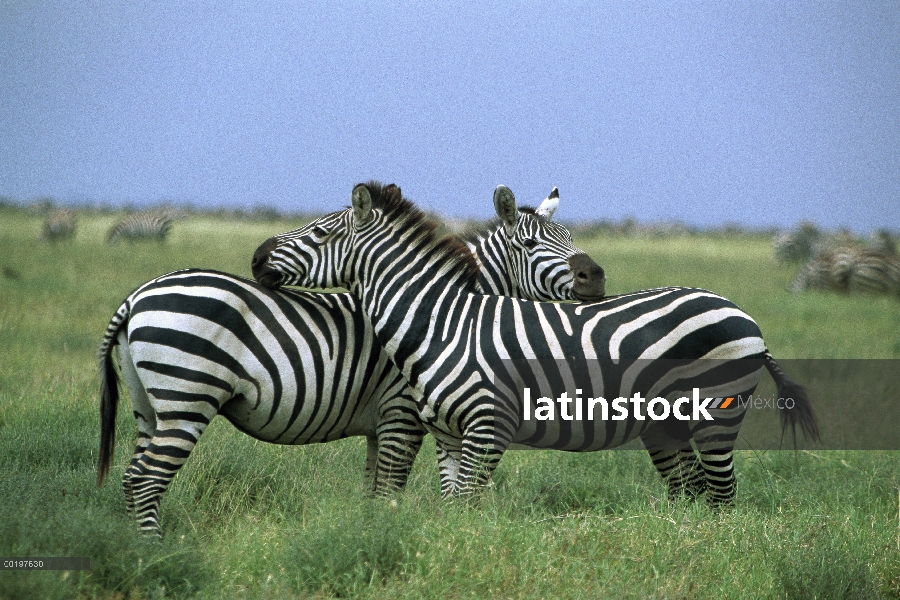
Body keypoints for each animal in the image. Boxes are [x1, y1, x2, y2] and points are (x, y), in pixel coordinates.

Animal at [100, 183, 604, 536]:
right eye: (530, 245)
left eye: (569, 236)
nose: (595, 276)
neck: (444, 312)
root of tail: (135, 297)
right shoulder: (402, 413)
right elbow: (390, 492)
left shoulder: (381, 425)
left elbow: (374, 494)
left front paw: (369, 543)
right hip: (186, 397)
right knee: (146, 481)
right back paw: (153, 554)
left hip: (150, 405)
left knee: (131, 479)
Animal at [250, 183, 820, 506]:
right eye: (530, 242)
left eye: (319, 234)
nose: (255, 257)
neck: (444, 320)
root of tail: (740, 311)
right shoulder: (445, 433)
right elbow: (447, 506)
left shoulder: (479, 426)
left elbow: (449, 504)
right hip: (669, 424)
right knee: (696, 492)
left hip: (716, 415)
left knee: (722, 496)